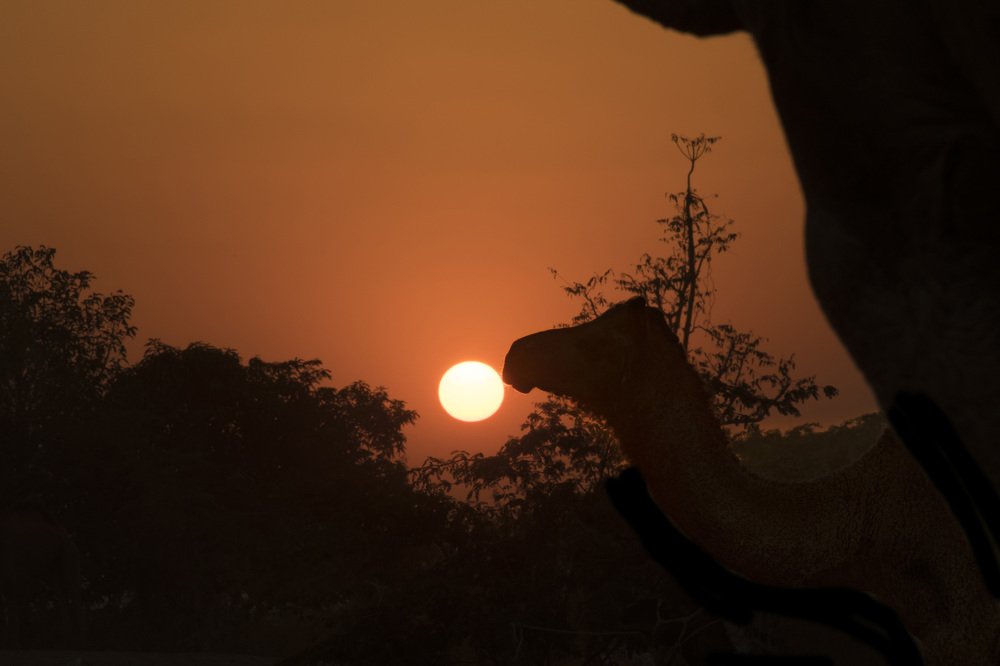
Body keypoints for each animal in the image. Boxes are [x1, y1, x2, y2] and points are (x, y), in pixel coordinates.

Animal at [0, 505, 84, 648]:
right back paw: (65, 638)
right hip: (51, 566)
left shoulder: (11, 575)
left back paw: (80, 638)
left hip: (68, 553)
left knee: (72, 589)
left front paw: (13, 643)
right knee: (59, 592)